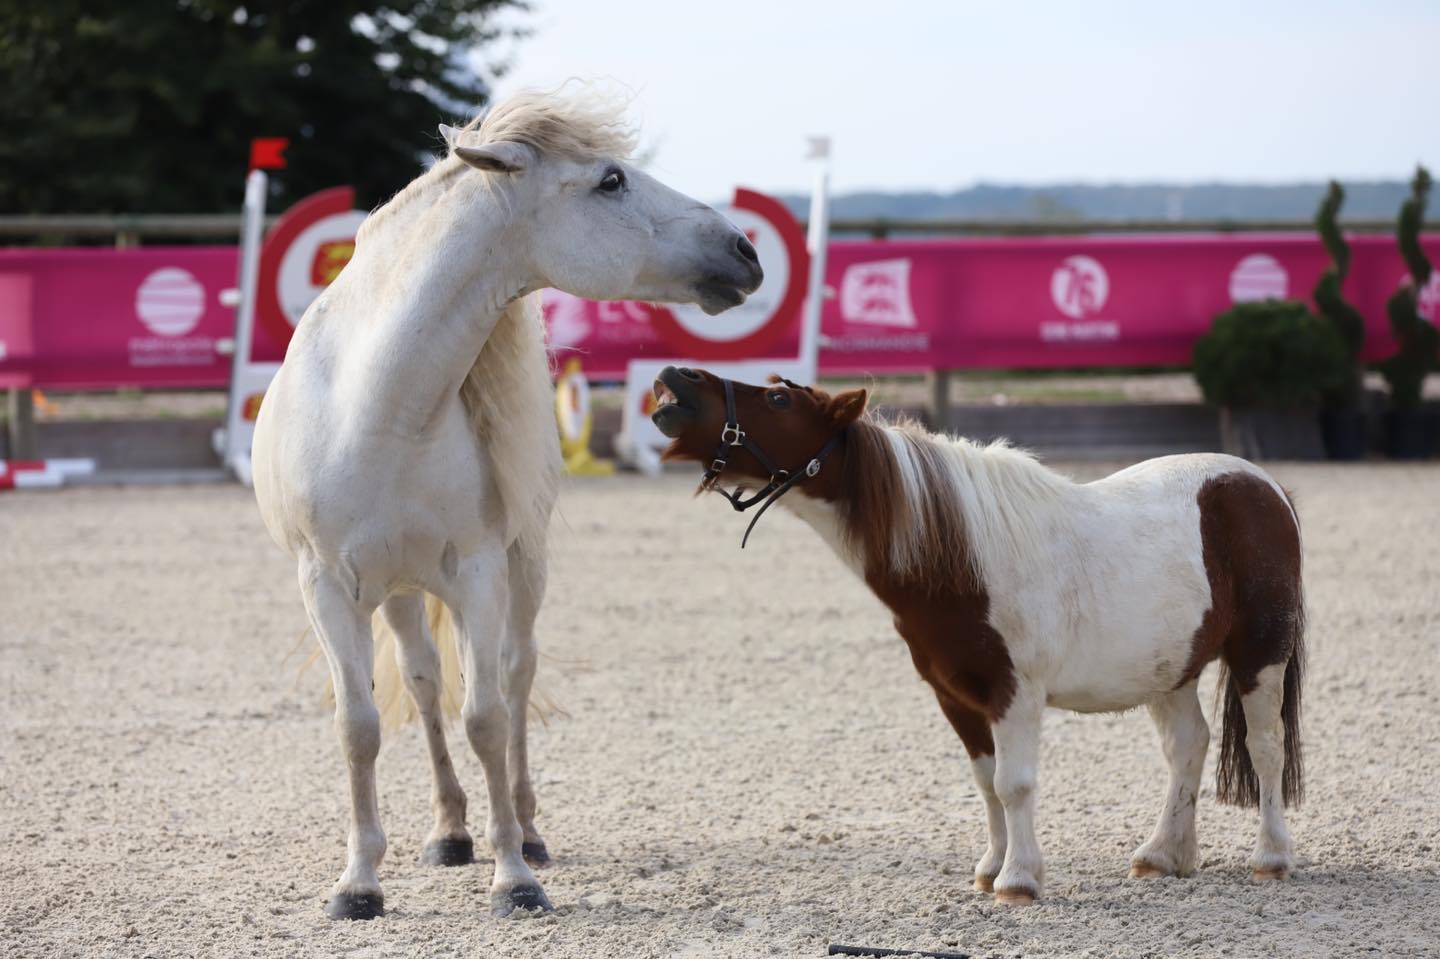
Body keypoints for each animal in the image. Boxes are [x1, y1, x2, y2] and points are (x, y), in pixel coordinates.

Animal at [251, 91, 763, 921]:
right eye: (610, 180)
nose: (744, 250)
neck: (378, 408)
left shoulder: (481, 574)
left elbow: (487, 716)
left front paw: (515, 876)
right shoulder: (325, 585)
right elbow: (359, 726)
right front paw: (359, 883)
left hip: (525, 567)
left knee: (516, 675)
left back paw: (524, 828)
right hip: (398, 591)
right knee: (424, 682)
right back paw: (450, 831)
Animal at [650, 367, 1305, 905]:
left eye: (779, 399)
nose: (674, 378)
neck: (961, 557)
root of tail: (1264, 487)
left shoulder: (1014, 694)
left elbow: (1015, 784)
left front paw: (1019, 880)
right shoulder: (957, 697)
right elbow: (987, 784)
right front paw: (992, 869)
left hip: (1260, 654)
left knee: (1265, 745)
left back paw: (1271, 857)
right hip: (1170, 669)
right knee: (1188, 745)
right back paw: (1164, 854)